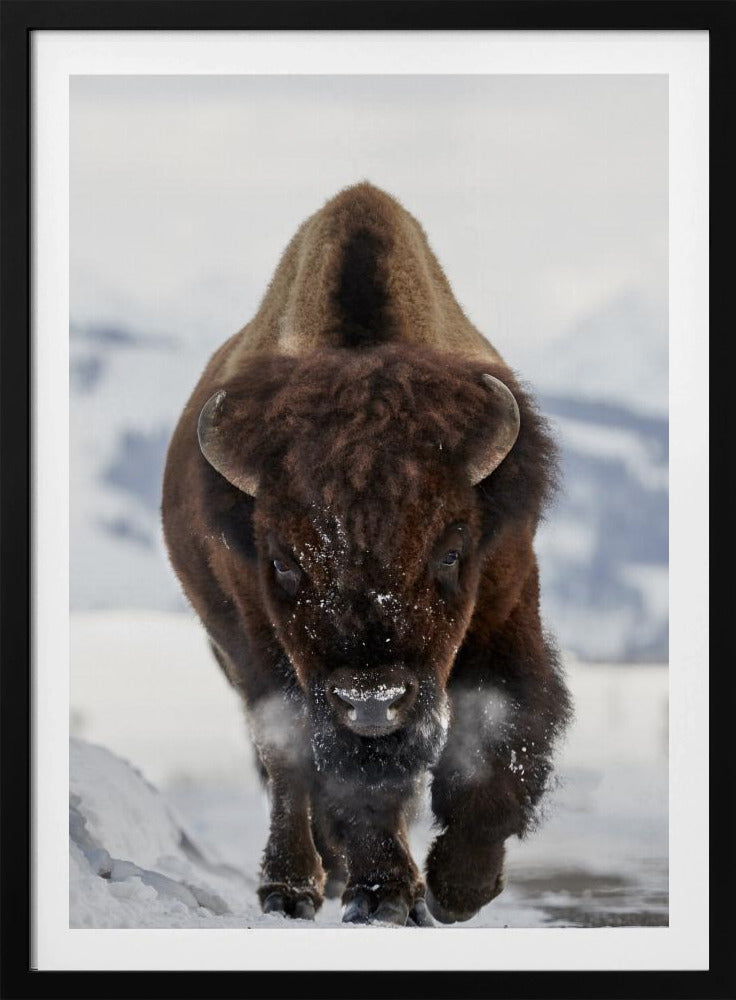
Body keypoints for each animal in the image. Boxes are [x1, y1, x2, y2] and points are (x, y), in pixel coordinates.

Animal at [162, 183, 571, 926]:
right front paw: (383, 893)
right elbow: (336, 774)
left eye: (452, 551)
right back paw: (294, 887)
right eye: (283, 562)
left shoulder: (505, 602)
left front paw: (458, 888)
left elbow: (503, 730)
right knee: (287, 766)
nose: (373, 702)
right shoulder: (269, 645)